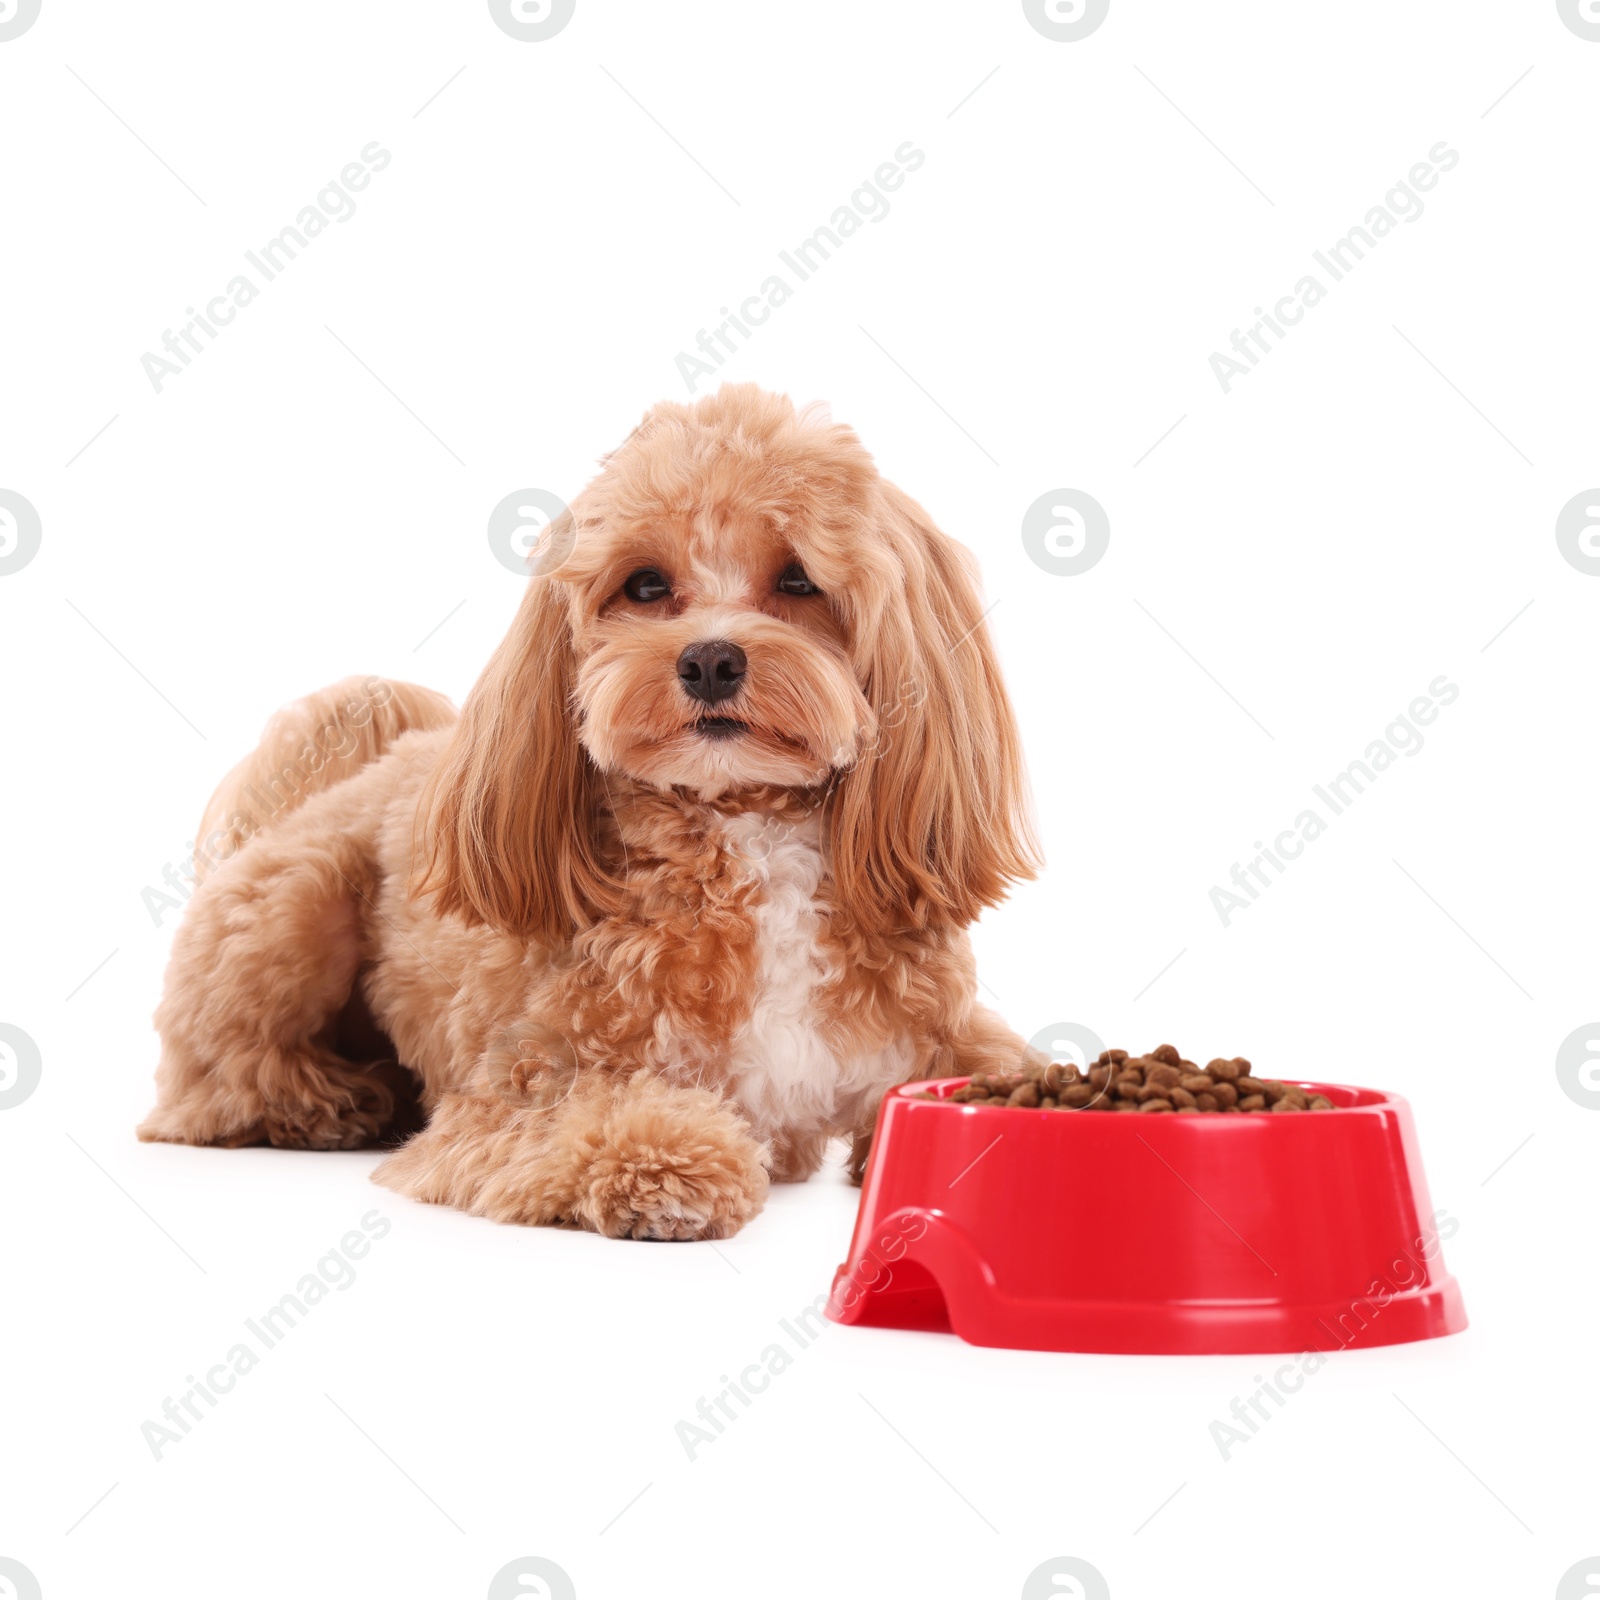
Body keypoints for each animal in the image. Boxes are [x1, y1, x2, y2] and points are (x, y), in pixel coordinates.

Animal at [144, 384, 1043, 1235]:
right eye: (645, 584)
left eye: (798, 579)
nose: (710, 660)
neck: (750, 829)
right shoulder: (520, 1088)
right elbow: (598, 1116)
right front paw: (671, 1164)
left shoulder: (936, 1028)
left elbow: (999, 1060)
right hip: (293, 905)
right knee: (214, 1080)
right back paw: (329, 1101)